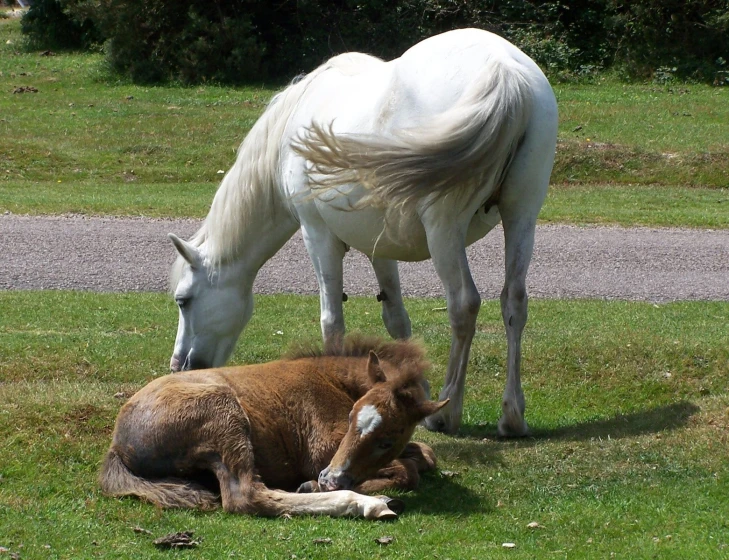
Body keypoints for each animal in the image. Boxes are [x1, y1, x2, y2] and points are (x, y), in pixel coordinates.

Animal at [169, 28, 556, 436]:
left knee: (464, 305)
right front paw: (414, 390)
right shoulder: (380, 247)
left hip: (444, 230)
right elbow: (397, 318)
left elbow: (332, 320)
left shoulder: (316, 235)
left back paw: (447, 413)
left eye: (183, 300)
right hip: (521, 216)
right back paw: (512, 415)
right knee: (513, 302)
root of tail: (504, 71)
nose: (179, 367)